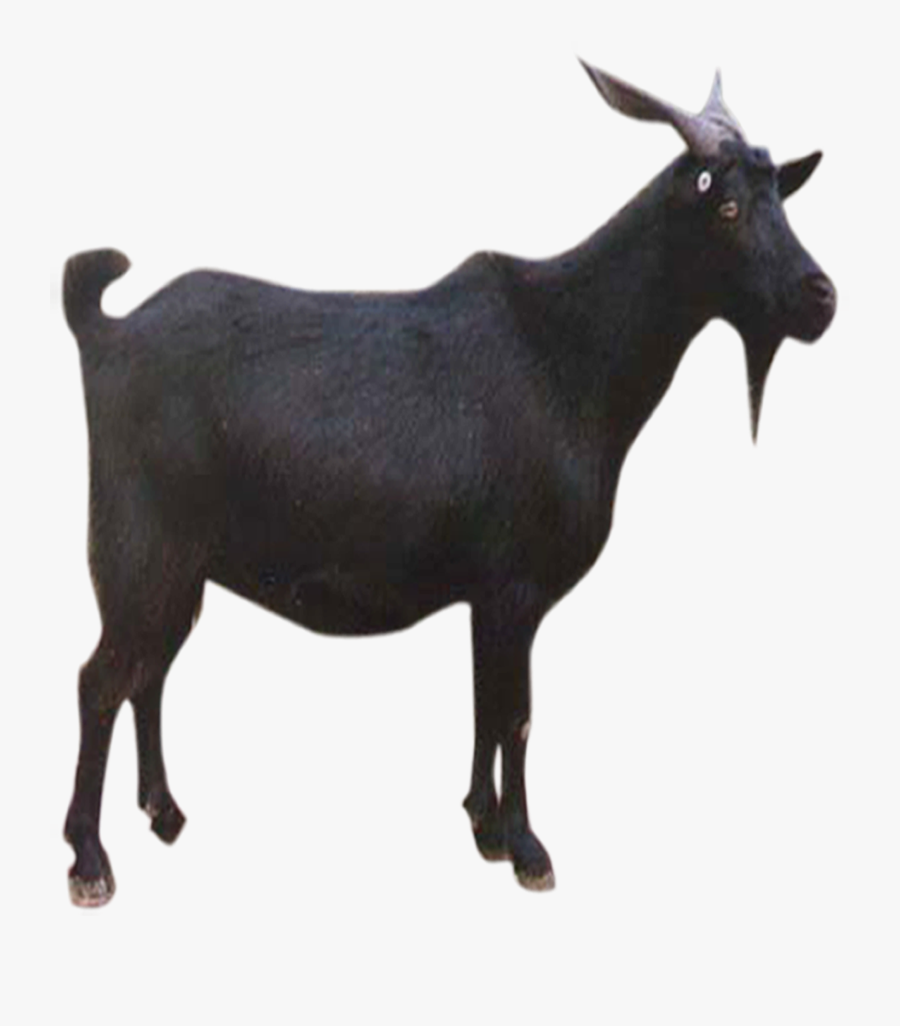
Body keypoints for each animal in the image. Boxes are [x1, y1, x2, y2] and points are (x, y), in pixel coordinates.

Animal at [63, 63, 836, 905]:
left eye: (781, 199)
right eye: (726, 207)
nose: (820, 297)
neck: (571, 352)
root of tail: (105, 332)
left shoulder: (485, 592)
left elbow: (484, 704)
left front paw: (484, 827)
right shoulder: (515, 585)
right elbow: (517, 714)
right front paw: (528, 849)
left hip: (179, 571)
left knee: (149, 675)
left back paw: (164, 812)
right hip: (139, 554)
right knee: (101, 681)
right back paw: (90, 860)